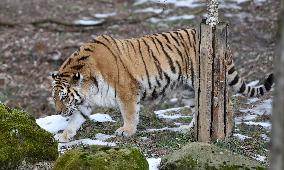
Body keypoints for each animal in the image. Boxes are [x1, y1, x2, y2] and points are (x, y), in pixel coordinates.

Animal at [50, 28, 272, 142]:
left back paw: (227, 131)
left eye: (64, 97)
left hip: (203, 81)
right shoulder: (86, 101)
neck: (89, 81)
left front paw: (127, 131)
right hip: (190, 90)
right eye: (55, 99)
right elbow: (76, 119)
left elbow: (129, 113)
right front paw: (65, 135)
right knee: (198, 109)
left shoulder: (127, 91)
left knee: (228, 103)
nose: (59, 113)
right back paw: (189, 130)